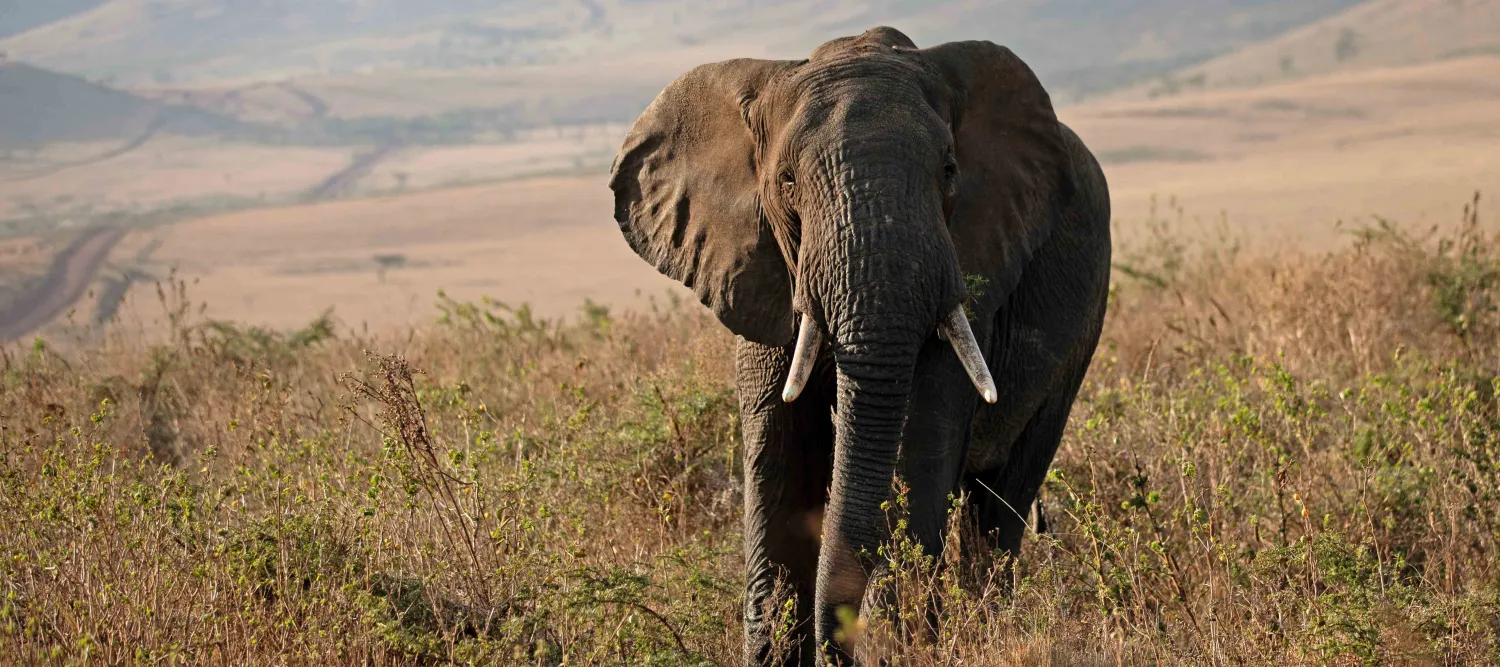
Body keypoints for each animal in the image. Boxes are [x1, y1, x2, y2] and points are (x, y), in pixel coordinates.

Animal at [608, 26, 1111, 665]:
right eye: (788, 183)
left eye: (950, 170)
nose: (839, 643)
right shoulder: (761, 272)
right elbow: (779, 460)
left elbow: (916, 452)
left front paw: (899, 643)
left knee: (1001, 500)